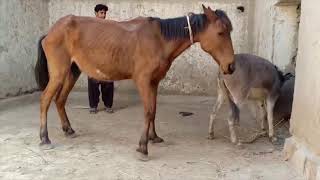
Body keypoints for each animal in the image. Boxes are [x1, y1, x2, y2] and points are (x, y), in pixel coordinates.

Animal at [35, 4, 235, 158]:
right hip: (59, 73)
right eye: (220, 33)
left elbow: (154, 110)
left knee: (60, 100)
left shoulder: (154, 82)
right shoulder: (143, 81)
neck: (159, 39)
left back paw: (68, 130)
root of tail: (50, 32)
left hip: (72, 72)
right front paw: (143, 146)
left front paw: (154, 137)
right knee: (45, 100)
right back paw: (44, 138)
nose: (231, 66)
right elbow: (147, 111)